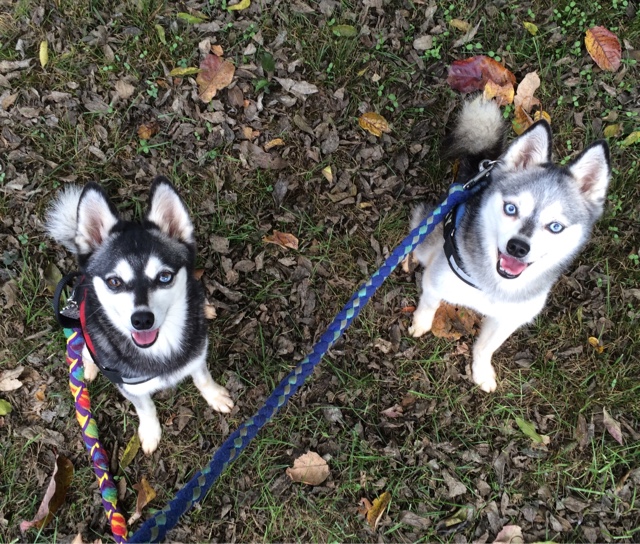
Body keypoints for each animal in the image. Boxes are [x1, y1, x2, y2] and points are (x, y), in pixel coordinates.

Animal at [46, 177, 234, 453]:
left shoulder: (197, 355)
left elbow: (203, 378)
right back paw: (88, 368)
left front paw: (215, 395)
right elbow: (146, 408)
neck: (161, 351)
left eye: (164, 277)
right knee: (84, 352)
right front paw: (150, 432)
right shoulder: (129, 387)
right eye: (114, 282)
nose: (142, 320)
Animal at [409, 97, 611, 392]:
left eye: (555, 226)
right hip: (428, 239)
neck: (495, 286)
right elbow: (429, 304)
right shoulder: (437, 281)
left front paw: (482, 371)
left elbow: (486, 347)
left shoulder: (509, 318)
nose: (518, 247)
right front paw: (420, 324)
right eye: (511, 208)